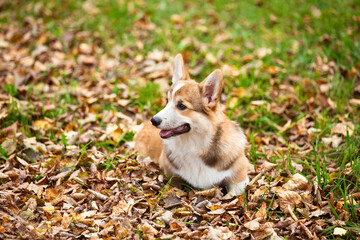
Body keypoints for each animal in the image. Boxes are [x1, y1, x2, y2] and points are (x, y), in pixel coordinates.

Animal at [135, 54, 250, 195]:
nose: (154, 120)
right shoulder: (172, 174)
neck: (195, 145)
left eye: (181, 106)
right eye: (167, 101)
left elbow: (232, 194)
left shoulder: (240, 179)